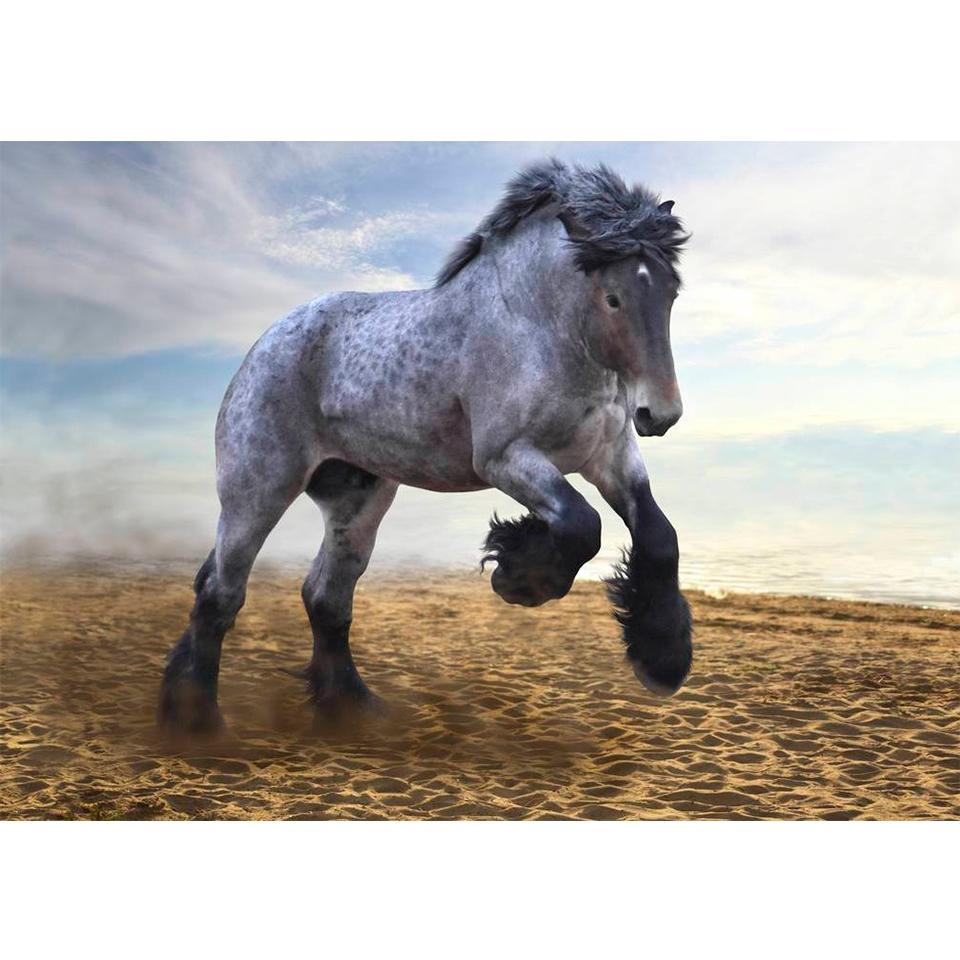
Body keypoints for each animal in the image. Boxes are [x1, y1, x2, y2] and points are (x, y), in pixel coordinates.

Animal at [159, 158, 693, 734]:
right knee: (220, 592)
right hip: (257, 492)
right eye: (613, 297)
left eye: (670, 293)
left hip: (357, 503)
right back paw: (197, 721)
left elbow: (659, 536)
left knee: (326, 598)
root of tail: (263, 347)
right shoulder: (506, 457)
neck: (539, 326)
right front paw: (518, 578)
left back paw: (352, 709)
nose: (659, 414)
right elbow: (581, 524)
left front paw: (663, 659)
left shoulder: (610, 456)